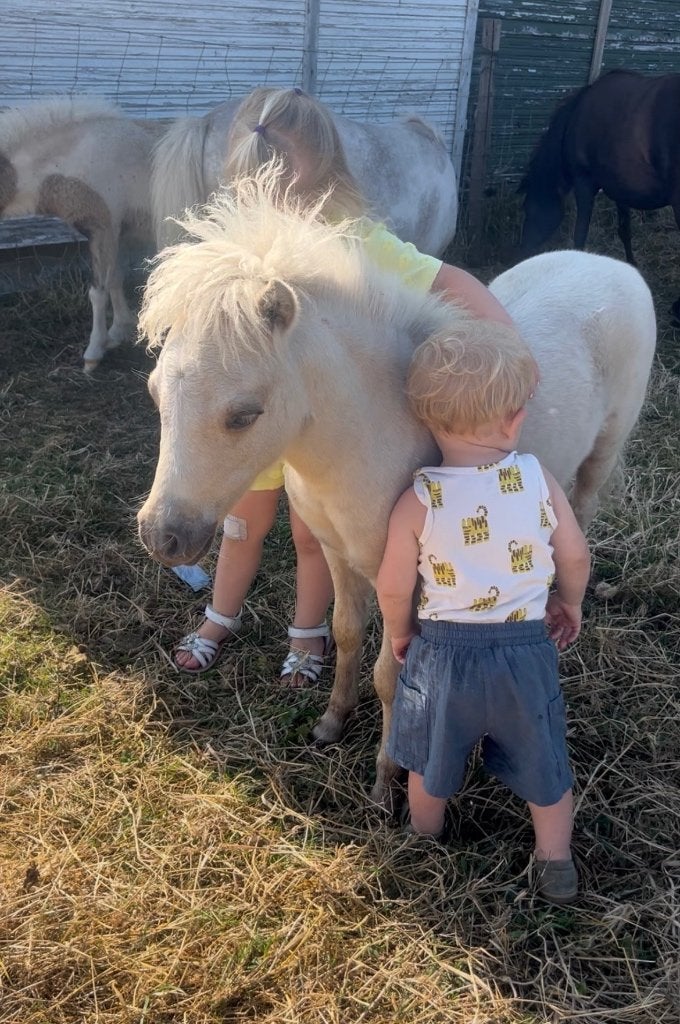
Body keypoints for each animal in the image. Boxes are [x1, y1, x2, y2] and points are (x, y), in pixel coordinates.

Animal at [0, 96, 165, 369]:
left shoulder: (102, 227)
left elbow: (98, 292)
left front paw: (93, 354)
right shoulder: (116, 233)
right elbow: (114, 279)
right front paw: (117, 332)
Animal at [136, 169, 656, 808]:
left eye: (243, 415)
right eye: (156, 392)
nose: (161, 536)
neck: (363, 436)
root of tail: (610, 265)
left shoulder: (406, 580)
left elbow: (393, 675)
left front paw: (387, 780)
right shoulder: (338, 555)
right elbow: (345, 633)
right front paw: (332, 721)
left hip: (602, 453)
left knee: (580, 516)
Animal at [517, 69, 680, 318]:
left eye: (528, 208)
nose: (523, 250)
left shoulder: (584, 183)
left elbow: (580, 232)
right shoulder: (621, 189)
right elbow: (625, 230)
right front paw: (632, 266)